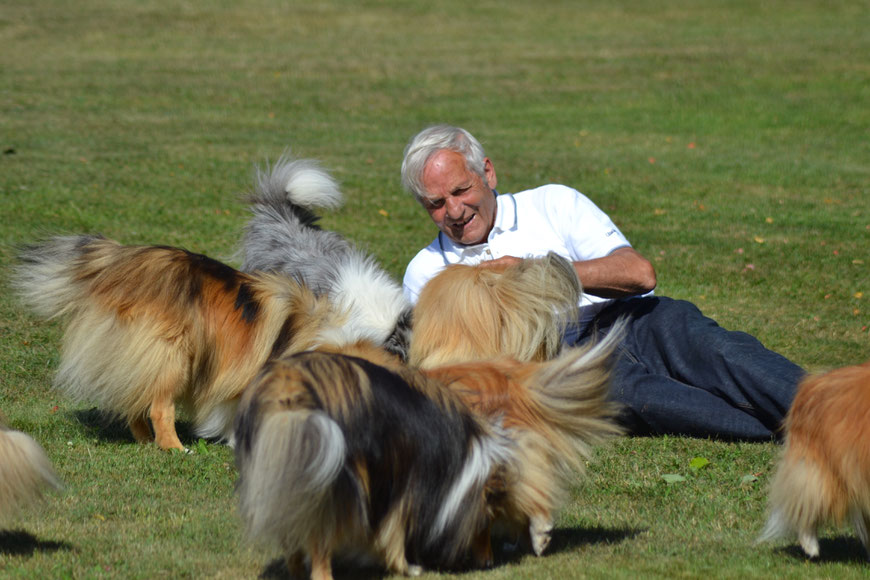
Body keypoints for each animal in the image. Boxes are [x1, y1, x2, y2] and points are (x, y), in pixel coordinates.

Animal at [235, 346, 516, 576]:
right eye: (487, 521)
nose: (489, 563)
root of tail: (290, 386)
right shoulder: (407, 481)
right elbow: (395, 532)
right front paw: (408, 567)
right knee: (320, 542)